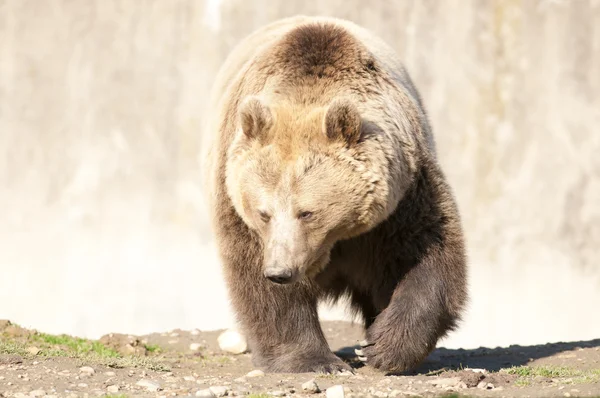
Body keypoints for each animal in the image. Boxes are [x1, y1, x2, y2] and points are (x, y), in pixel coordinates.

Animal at [202, 15, 468, 374]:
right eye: (263, 212)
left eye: (307, 212)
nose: (280, 272)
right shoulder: (237, 206)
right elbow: (258, 284)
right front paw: (315, 360)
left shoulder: (401, 198)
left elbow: (428, 256)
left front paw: (380, 347)